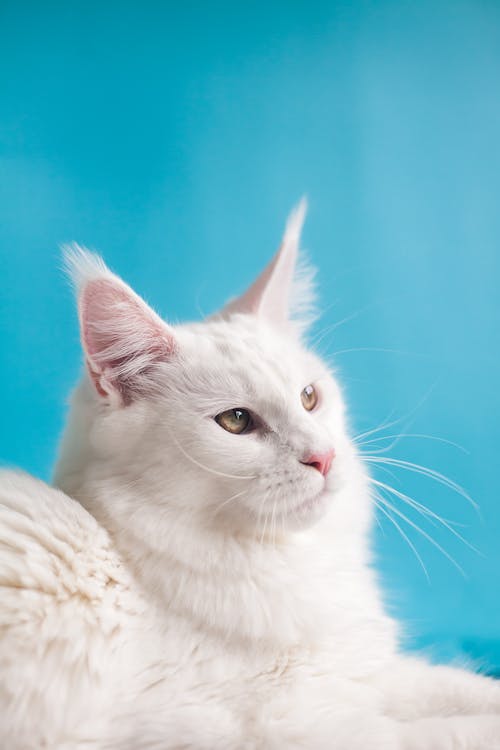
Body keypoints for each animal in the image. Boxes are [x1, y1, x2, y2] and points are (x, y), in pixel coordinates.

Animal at [0, 203, 500, 748]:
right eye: (236, 421)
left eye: (309, 397)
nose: (324, 457)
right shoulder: (306, 726)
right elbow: (457, 729)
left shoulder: (367, 673)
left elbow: (465, 688)